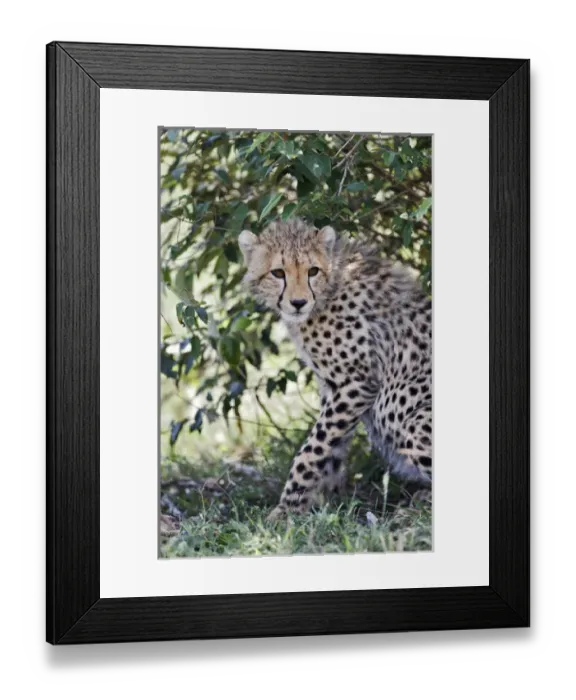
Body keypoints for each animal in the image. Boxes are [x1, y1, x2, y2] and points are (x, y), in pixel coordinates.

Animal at [238, 217, 432, 521]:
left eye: (313, 270)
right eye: (278, 272)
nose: (298, 303)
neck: (328, 291)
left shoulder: (356, 383)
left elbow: (312, 449)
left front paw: (287, 508)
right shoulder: (335, 388)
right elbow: (330, 446)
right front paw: (321, 502)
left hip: (407, 416)